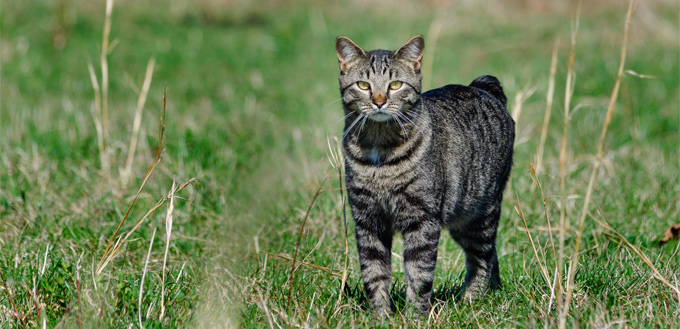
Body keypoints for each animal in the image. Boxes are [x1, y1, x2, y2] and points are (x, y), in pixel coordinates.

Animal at [334, 36, 516, 316]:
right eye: (363, 85)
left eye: (395, 84)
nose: (378, 101)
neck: (380, 152)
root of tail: (481, 86)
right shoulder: (368, 220)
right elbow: (374, 272)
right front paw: (380, 315)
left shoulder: (422, 219)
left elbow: (419, 273)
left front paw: (415, 316)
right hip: (460, 219)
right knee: (491, 254)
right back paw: (490, 292)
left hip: (481, 214)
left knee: (482, 259)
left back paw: (471, 300)